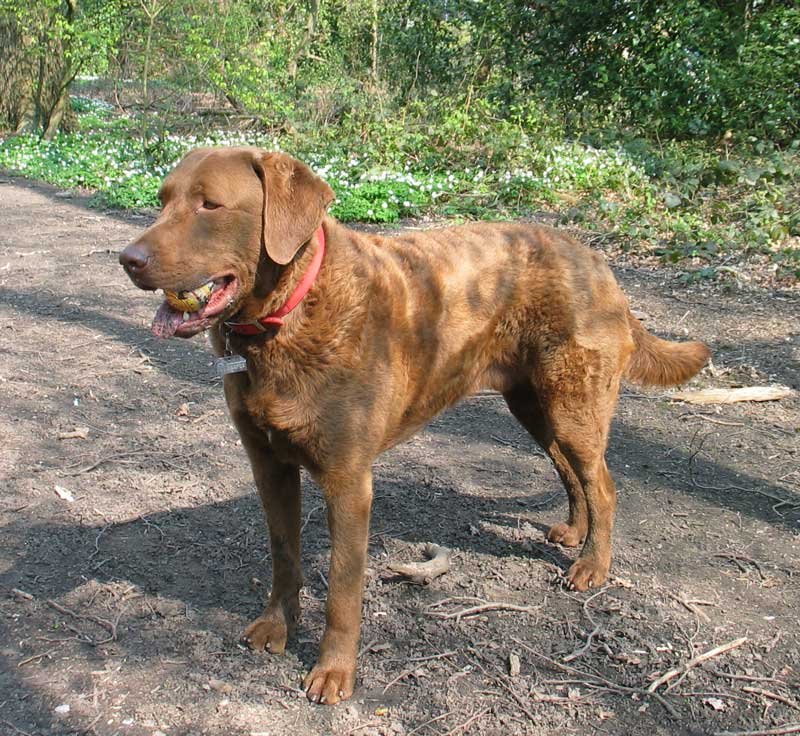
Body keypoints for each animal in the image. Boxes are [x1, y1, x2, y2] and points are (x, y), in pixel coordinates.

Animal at [117, 147, 708, 704]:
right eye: (163, 199)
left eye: (210, 205)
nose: (128, 258)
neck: (288, 317)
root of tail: (600, 263)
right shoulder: (268, 464)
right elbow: (284, 554)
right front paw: (276, 627)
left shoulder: (349, 480)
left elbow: (343, 589)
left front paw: (334, 672)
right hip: (535, 404)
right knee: (572, 471)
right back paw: (574, 532)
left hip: (571, 403)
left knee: (602, 482)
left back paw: (593, 566)